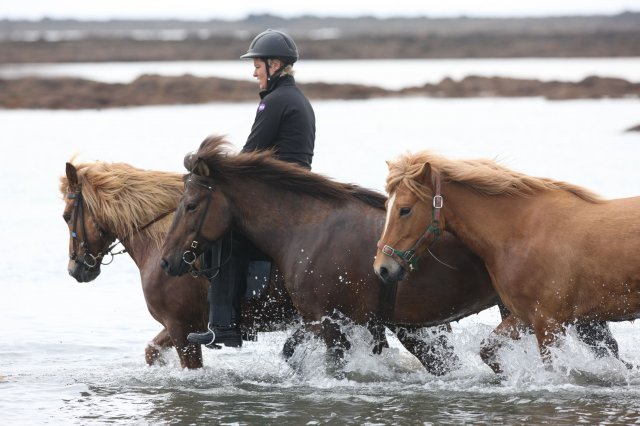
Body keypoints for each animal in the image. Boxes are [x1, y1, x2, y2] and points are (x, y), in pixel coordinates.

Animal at [59, 161, 298, 368]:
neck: (160, 243)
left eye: (66, 216)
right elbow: (151, 351)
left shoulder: (180, 327)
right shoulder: (179, 326)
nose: (74, 269)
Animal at [376, 151, 640, 372]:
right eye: (387, 206)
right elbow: (487, 350)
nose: (382, 268)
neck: (520, 232)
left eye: (405, 209)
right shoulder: (524, 316)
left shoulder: (547, 323)